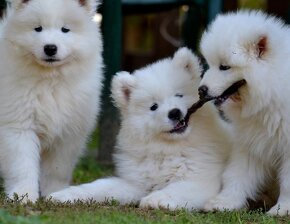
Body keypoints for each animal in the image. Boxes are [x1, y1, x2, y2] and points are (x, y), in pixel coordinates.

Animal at [0, 0, 103, 202]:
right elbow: (22, 165)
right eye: (38, 28)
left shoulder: (68, 133)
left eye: (65, 29)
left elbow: (57, 169)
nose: (50, 48)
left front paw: (55, 193)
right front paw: (23, 195)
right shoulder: (19, 127)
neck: (50, 81)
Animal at [50, 48, 231, 211]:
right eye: (154, 107)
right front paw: (64, 195)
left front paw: (155, 199)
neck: (167, 149)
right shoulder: (135, 183)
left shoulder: (201, 181)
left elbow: (176, 189)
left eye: (179, 95)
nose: (174, 112)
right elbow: (99, 186)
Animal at [199, 10, 290, 215]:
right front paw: (224, 202)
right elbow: (238, 174)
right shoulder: (252, 141)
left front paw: (282, 209)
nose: (201, 90)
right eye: (210, 63)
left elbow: (288, 183)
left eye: (225, 67)